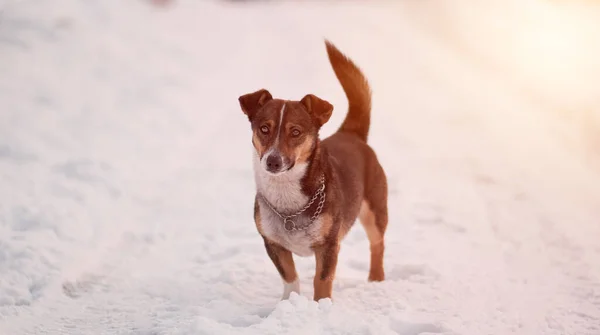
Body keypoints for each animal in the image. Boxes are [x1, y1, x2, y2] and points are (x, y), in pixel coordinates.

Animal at [237, 39, 386, 302]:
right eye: (264, 128)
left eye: (295, 132)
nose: (273, 161)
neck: (286, 195)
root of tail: (350, 134)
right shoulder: (273, 243)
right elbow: (289, 276)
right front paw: (289, 303)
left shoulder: (328, 245)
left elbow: (322, 280)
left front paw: (321, 306)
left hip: (374, 211)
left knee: (377, 244)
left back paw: (376, 279)